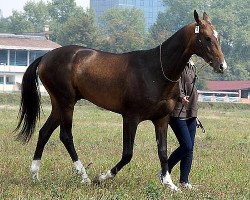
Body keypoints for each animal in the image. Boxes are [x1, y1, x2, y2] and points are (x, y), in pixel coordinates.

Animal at [15, 10, 227, 191]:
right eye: (207, 38)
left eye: (218, 37)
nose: (222, 66)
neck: (155, 71)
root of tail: (46, 56)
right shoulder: (131, 117)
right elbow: (127, 154)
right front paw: (101, 177)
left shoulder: (162, 119)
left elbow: (163, 151)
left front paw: (169, 184)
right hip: (66, 103)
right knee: (65, 136)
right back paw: (84, 177)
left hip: (60, 104)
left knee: (44, 133)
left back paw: (35, 175)